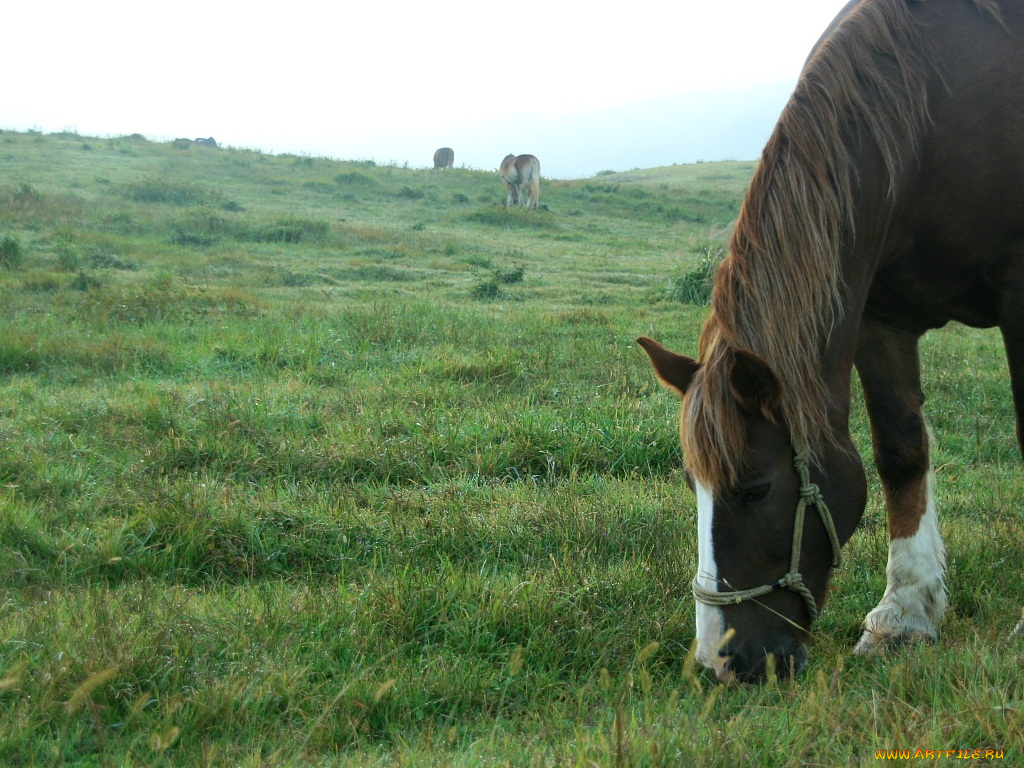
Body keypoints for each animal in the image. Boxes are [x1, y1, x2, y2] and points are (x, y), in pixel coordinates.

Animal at [634, 0, 1024, 684]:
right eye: (691, 484)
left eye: (754, 488)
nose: (719, 660)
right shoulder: (878, 314)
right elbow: (900, 451)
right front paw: (904, 613)